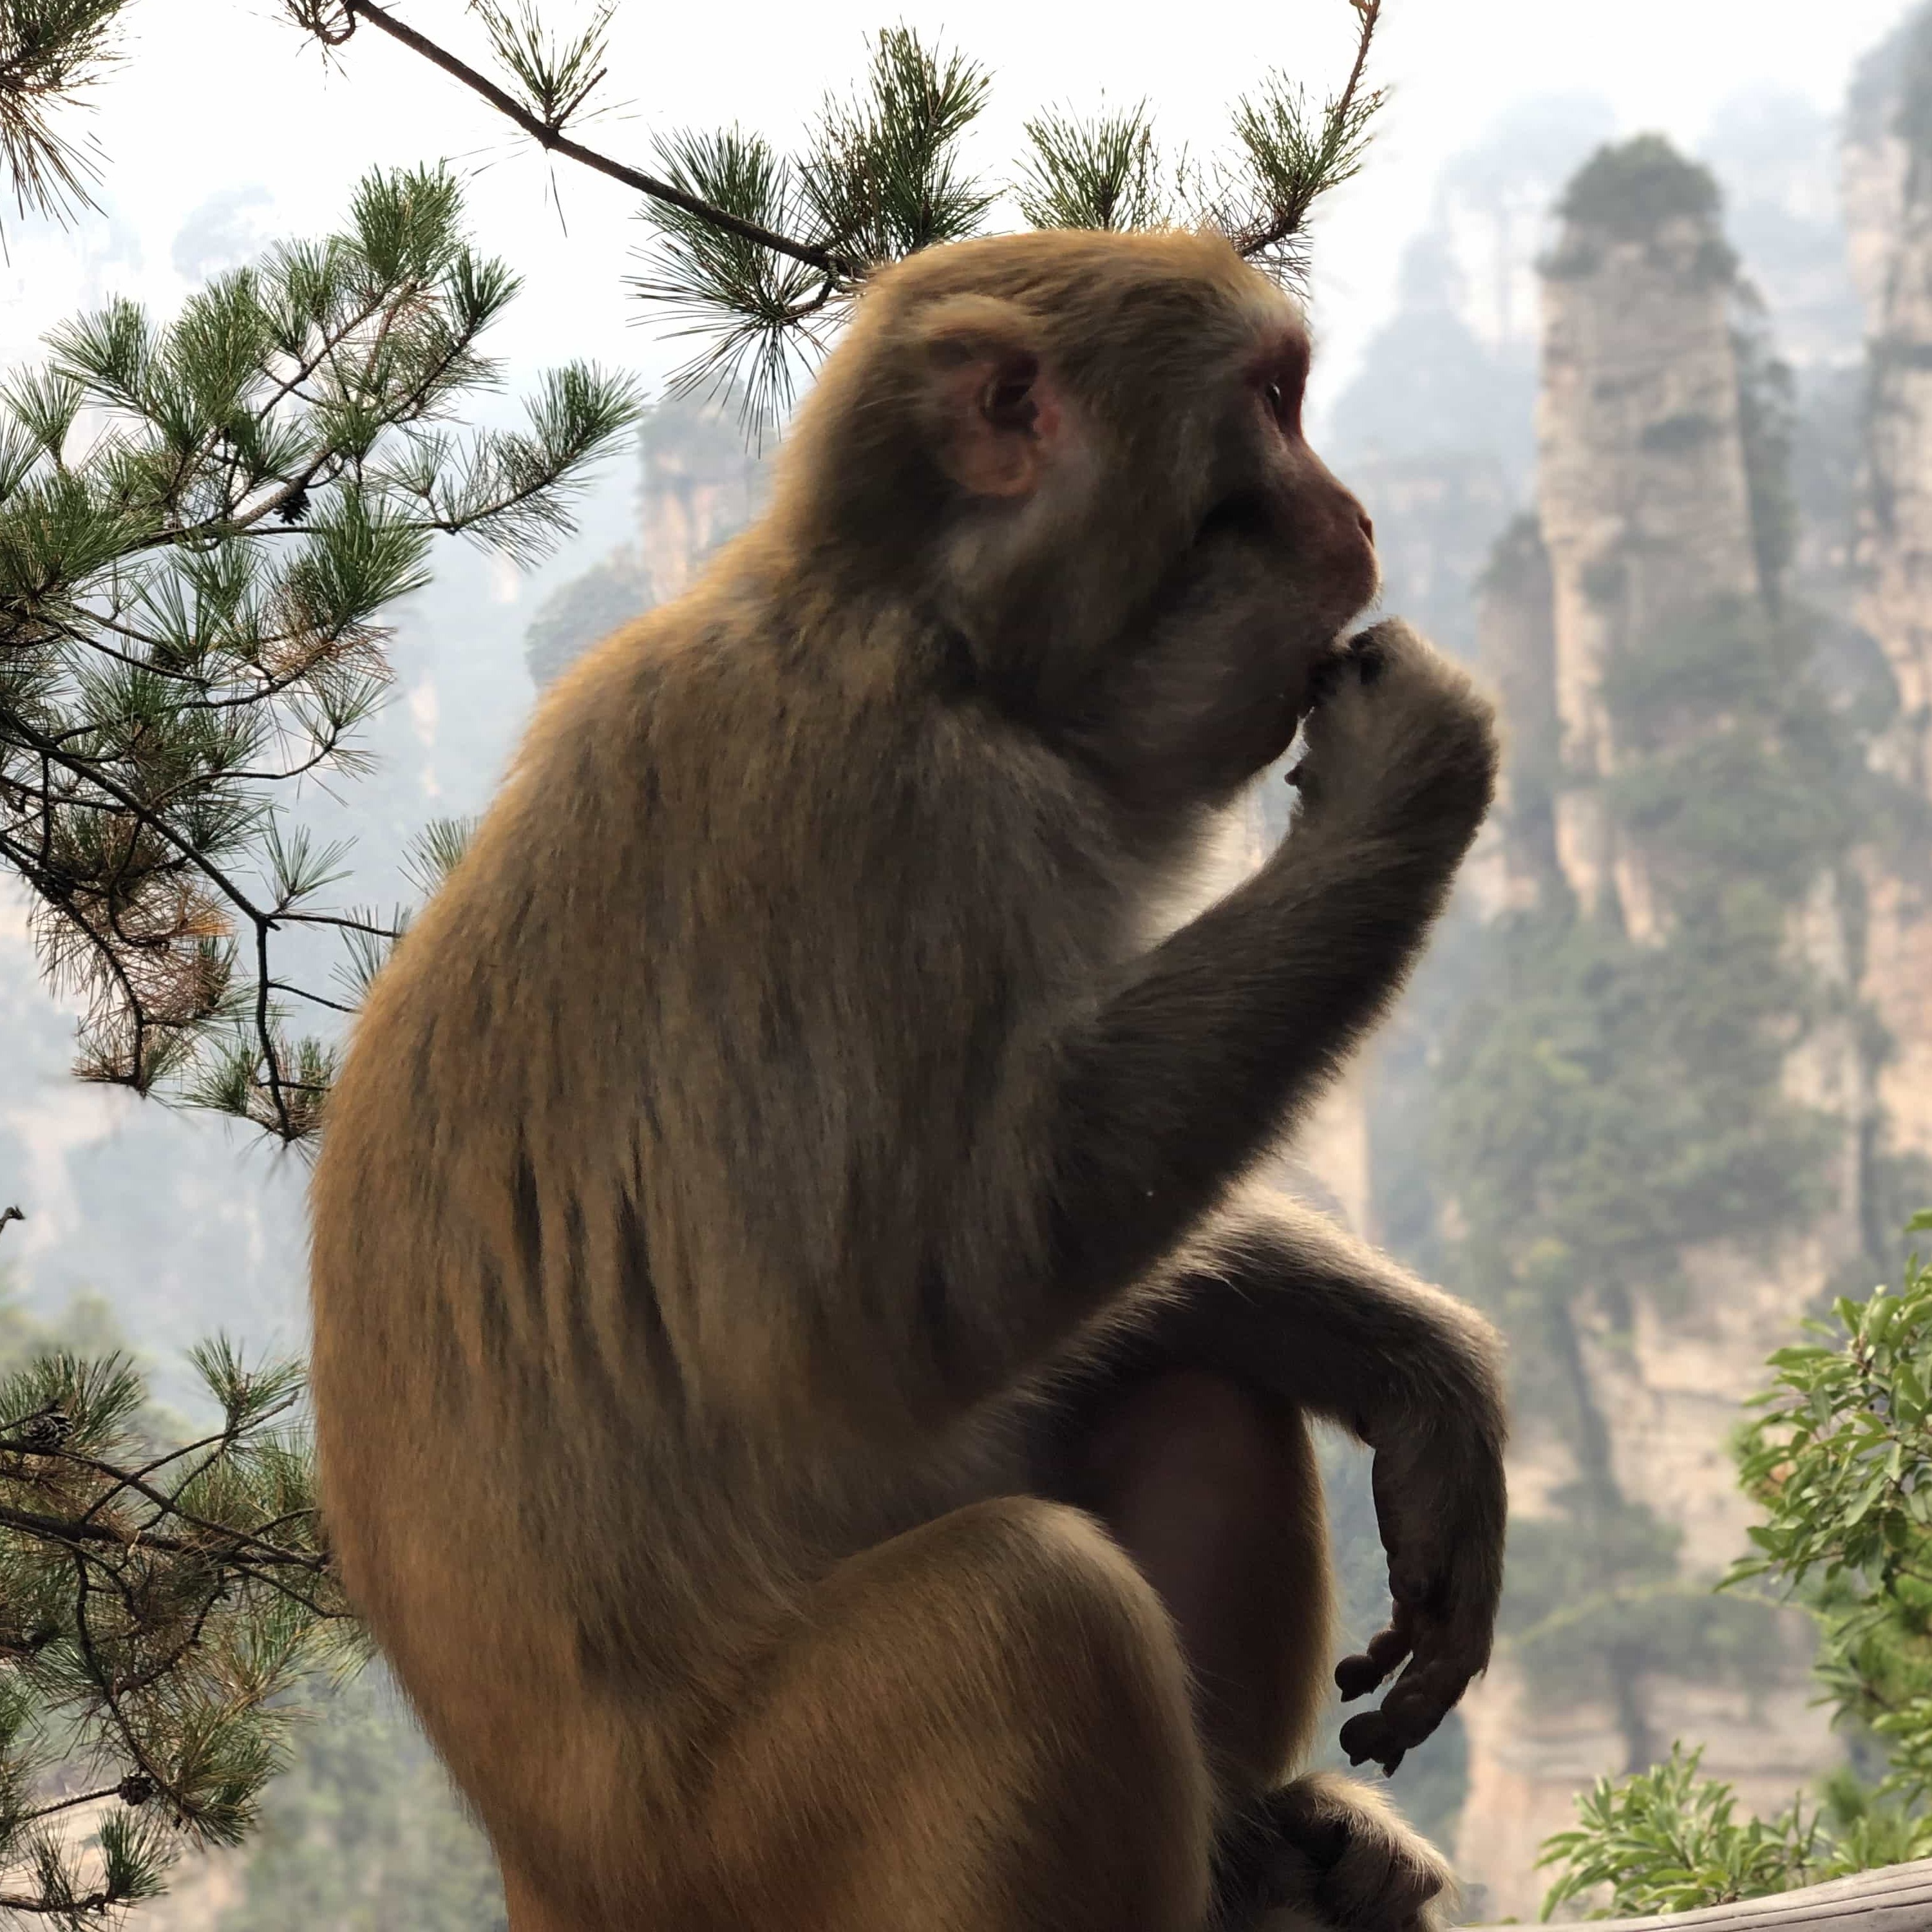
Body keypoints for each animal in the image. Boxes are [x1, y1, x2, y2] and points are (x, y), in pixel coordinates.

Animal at [308, 225, 1507, 1932]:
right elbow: (920, 1295)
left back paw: (1262, 1848)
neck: (937, 649)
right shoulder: (882, 825)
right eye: (1276, 405)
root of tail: (549, 1872)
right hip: (746, 1842)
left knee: (1200, 1394)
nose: (1355, 514)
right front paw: (1415, 765)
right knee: (1030, 1612)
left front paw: (1412, 1366)